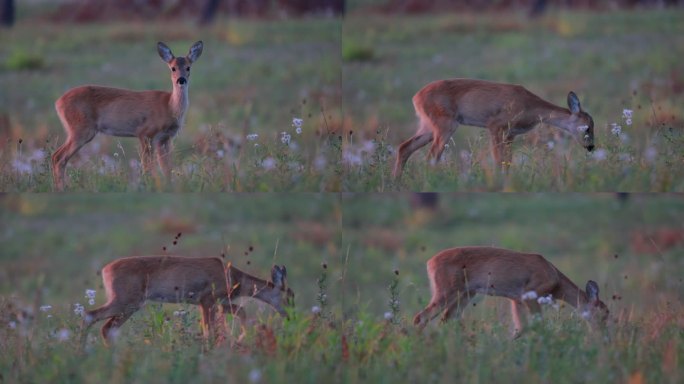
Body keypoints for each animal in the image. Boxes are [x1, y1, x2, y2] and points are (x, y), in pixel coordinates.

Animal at [52, 41, 204, 190]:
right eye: (173, 68)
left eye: (188, 67)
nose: (181, 80)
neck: (169, 106)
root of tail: (58, 102)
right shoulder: (145, 133)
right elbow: (147, 166)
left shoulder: (165, 138)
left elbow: (167, 168)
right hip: (81, 129)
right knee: (58, 157)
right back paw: (61, 189)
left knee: (57, 156)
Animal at [81, 256, 292, 346]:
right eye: (291, 296)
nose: (291, 317)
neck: (234, 278)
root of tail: (106, 270)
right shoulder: (207, 299)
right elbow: (209, 330)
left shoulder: (216, 302)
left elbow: (240, 310)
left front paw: (241, 337)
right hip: (126, 300)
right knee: (90, 316)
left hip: (128, 303)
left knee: (106, 327)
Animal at [392, 79, 596, 178]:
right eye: (587, 127)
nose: (591, 147)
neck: (530, 106)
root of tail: (416, 97)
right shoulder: (496, 126)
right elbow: (499, 160)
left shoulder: (511, 134)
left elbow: (508, 161)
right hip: (445, 125)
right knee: (431, 156)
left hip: (428, 126)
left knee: (404, 147)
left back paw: (396, 181)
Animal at [412, 246, 608, 336]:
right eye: (604, 313)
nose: (602, 334)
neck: (555, 279)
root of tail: (430, 262)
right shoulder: (529, 294)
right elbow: (535, 324)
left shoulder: (517, 299)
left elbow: (521, 327)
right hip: (447, 291)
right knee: (421, 317)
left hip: (466, 294)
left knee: (446, 320)